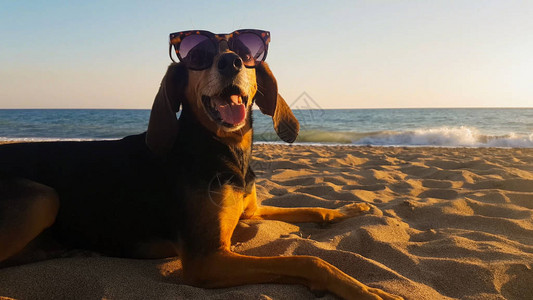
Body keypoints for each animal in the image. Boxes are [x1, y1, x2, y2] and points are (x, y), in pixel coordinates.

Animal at [0, 28, 400, 300]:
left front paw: (354, 208)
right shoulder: (207, 260)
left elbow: (316, 209)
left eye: (244, 51)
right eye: (199, 56)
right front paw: (365, 290)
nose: (231, 62)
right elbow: (307, 260)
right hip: (42, 197)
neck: (226, 150)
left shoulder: (249, 212)